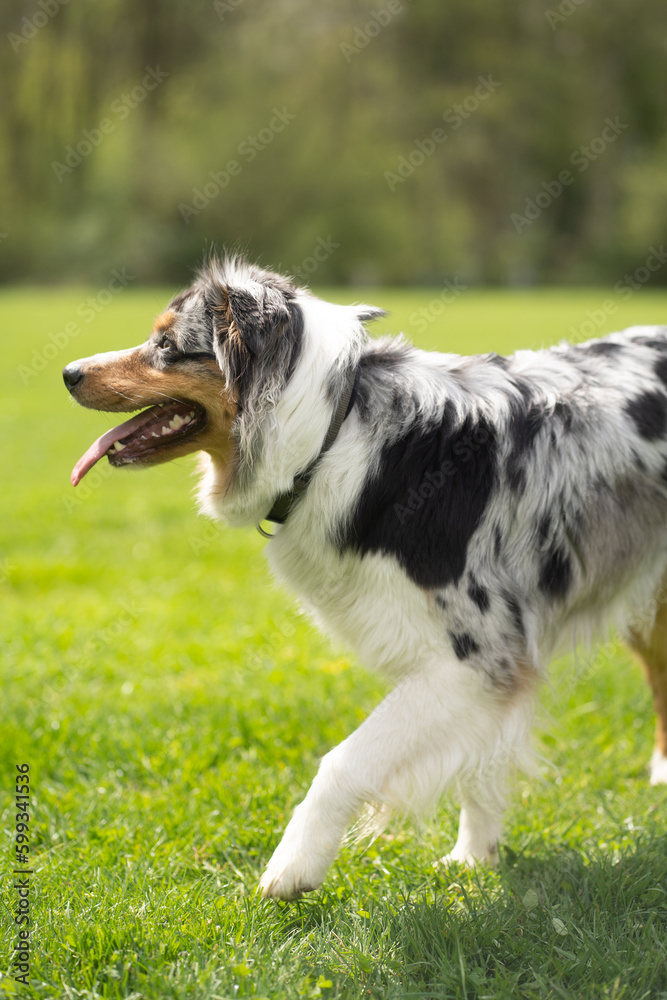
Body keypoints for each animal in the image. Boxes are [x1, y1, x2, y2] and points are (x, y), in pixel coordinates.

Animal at [65, 256, 667, 900]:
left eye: (168, 345)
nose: (68, 372)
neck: (331, 436)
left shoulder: (475, 654)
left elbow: (345, 760)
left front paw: (292, 866)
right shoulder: (490, 665)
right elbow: (478, 766)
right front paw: (474, 860)